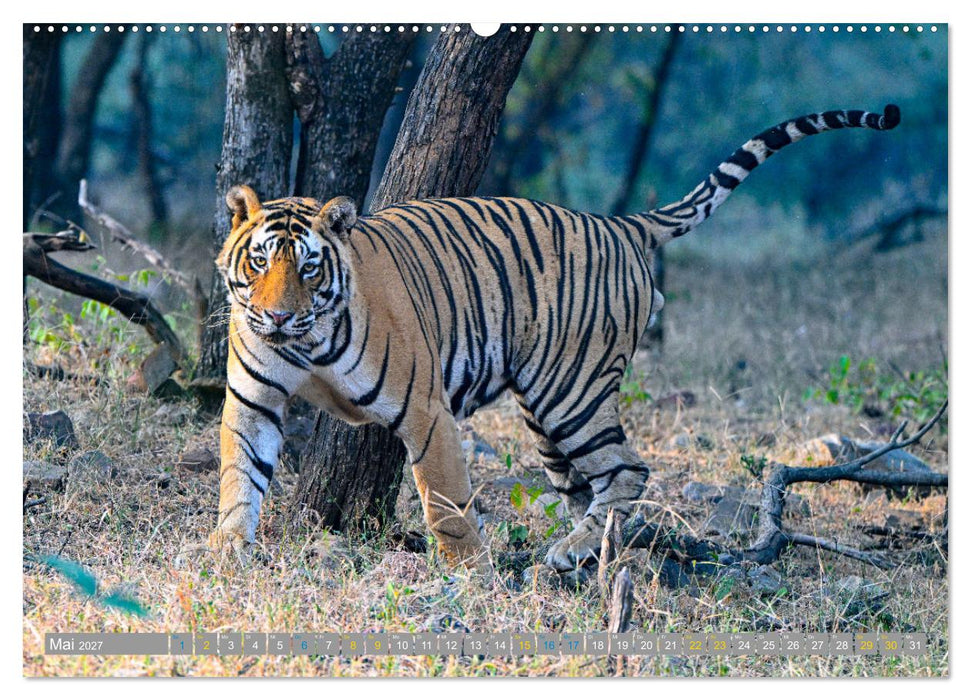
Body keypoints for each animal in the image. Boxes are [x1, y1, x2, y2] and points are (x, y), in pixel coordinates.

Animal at [209, 104, 900, 577]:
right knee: (587, 488)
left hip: (572, 394)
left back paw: (571, 553)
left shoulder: (427, 411)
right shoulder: (253, 401)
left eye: (309, 268)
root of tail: (617, 222)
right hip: (545, 415)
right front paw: (224, 551)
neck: (308, 342)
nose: (276, 318)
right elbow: (239, 476)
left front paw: (468, 574)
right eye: (261, 261)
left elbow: (446, 500)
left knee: (628, 469)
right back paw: (585, 554)